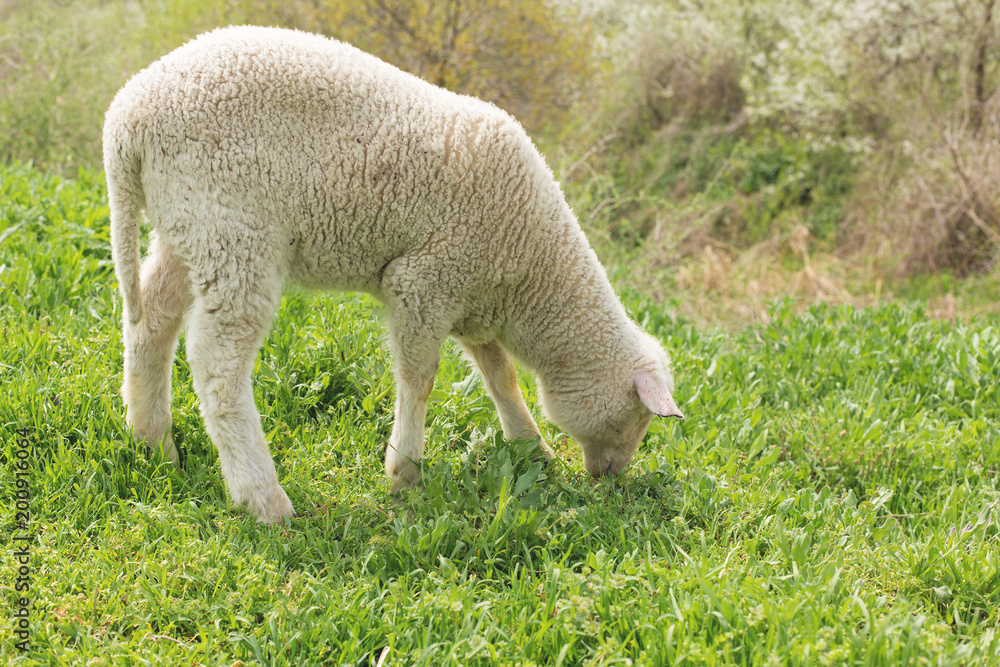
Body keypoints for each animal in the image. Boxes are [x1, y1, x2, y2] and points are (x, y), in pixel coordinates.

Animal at [107, 26, 688, 524]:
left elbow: (500, 374)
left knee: (151, 319)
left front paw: (532, 447)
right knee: (217, 366)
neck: (532, 275)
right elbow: (420, 378)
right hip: (233, 232)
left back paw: (153, 442)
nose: (611, 478)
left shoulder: (470, 295)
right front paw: (404, 470)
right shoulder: (424, 280)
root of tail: (126, 120)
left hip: (188, 228)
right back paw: (264, 499)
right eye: (635, 418)